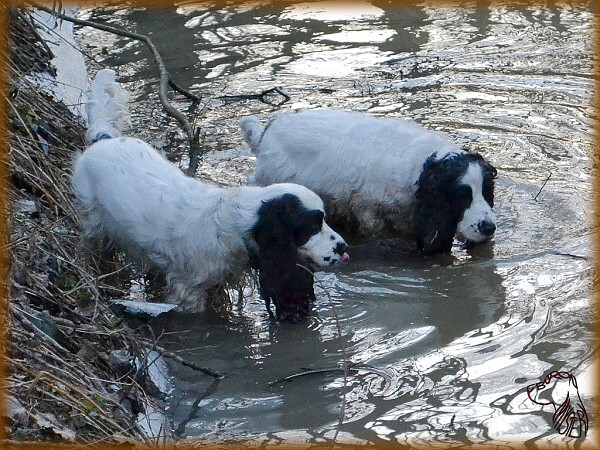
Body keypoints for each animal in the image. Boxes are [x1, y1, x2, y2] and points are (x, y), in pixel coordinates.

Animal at [72, 70, 350, 318]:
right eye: (312, 225)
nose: (344, 246)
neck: (236, 226)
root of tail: (104, 138)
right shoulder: (189, 291)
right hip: (92, 224)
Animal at [239, 109, 496, 255]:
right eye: (462, 195)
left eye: (486, 192)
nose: (489, 227)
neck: (421, 167)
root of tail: (265, 134)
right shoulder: (368, 210)